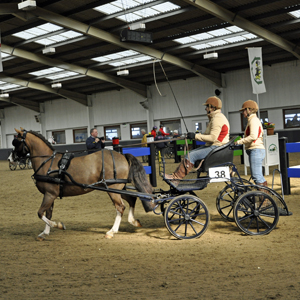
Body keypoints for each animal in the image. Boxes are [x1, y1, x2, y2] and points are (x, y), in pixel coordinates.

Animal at [11, 127, 155, 240]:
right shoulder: (50, 194)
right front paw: (45, 233)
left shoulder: (50, 194)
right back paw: (133, 221)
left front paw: (58, 225)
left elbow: (40, 213)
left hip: (113, 189)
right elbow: (48, 213)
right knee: (131, 199)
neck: (47, 162)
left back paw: (112, 231)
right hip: (118, 188)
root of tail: (122, 156)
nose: (11, 158)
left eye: (16, 142)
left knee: (120, 207)